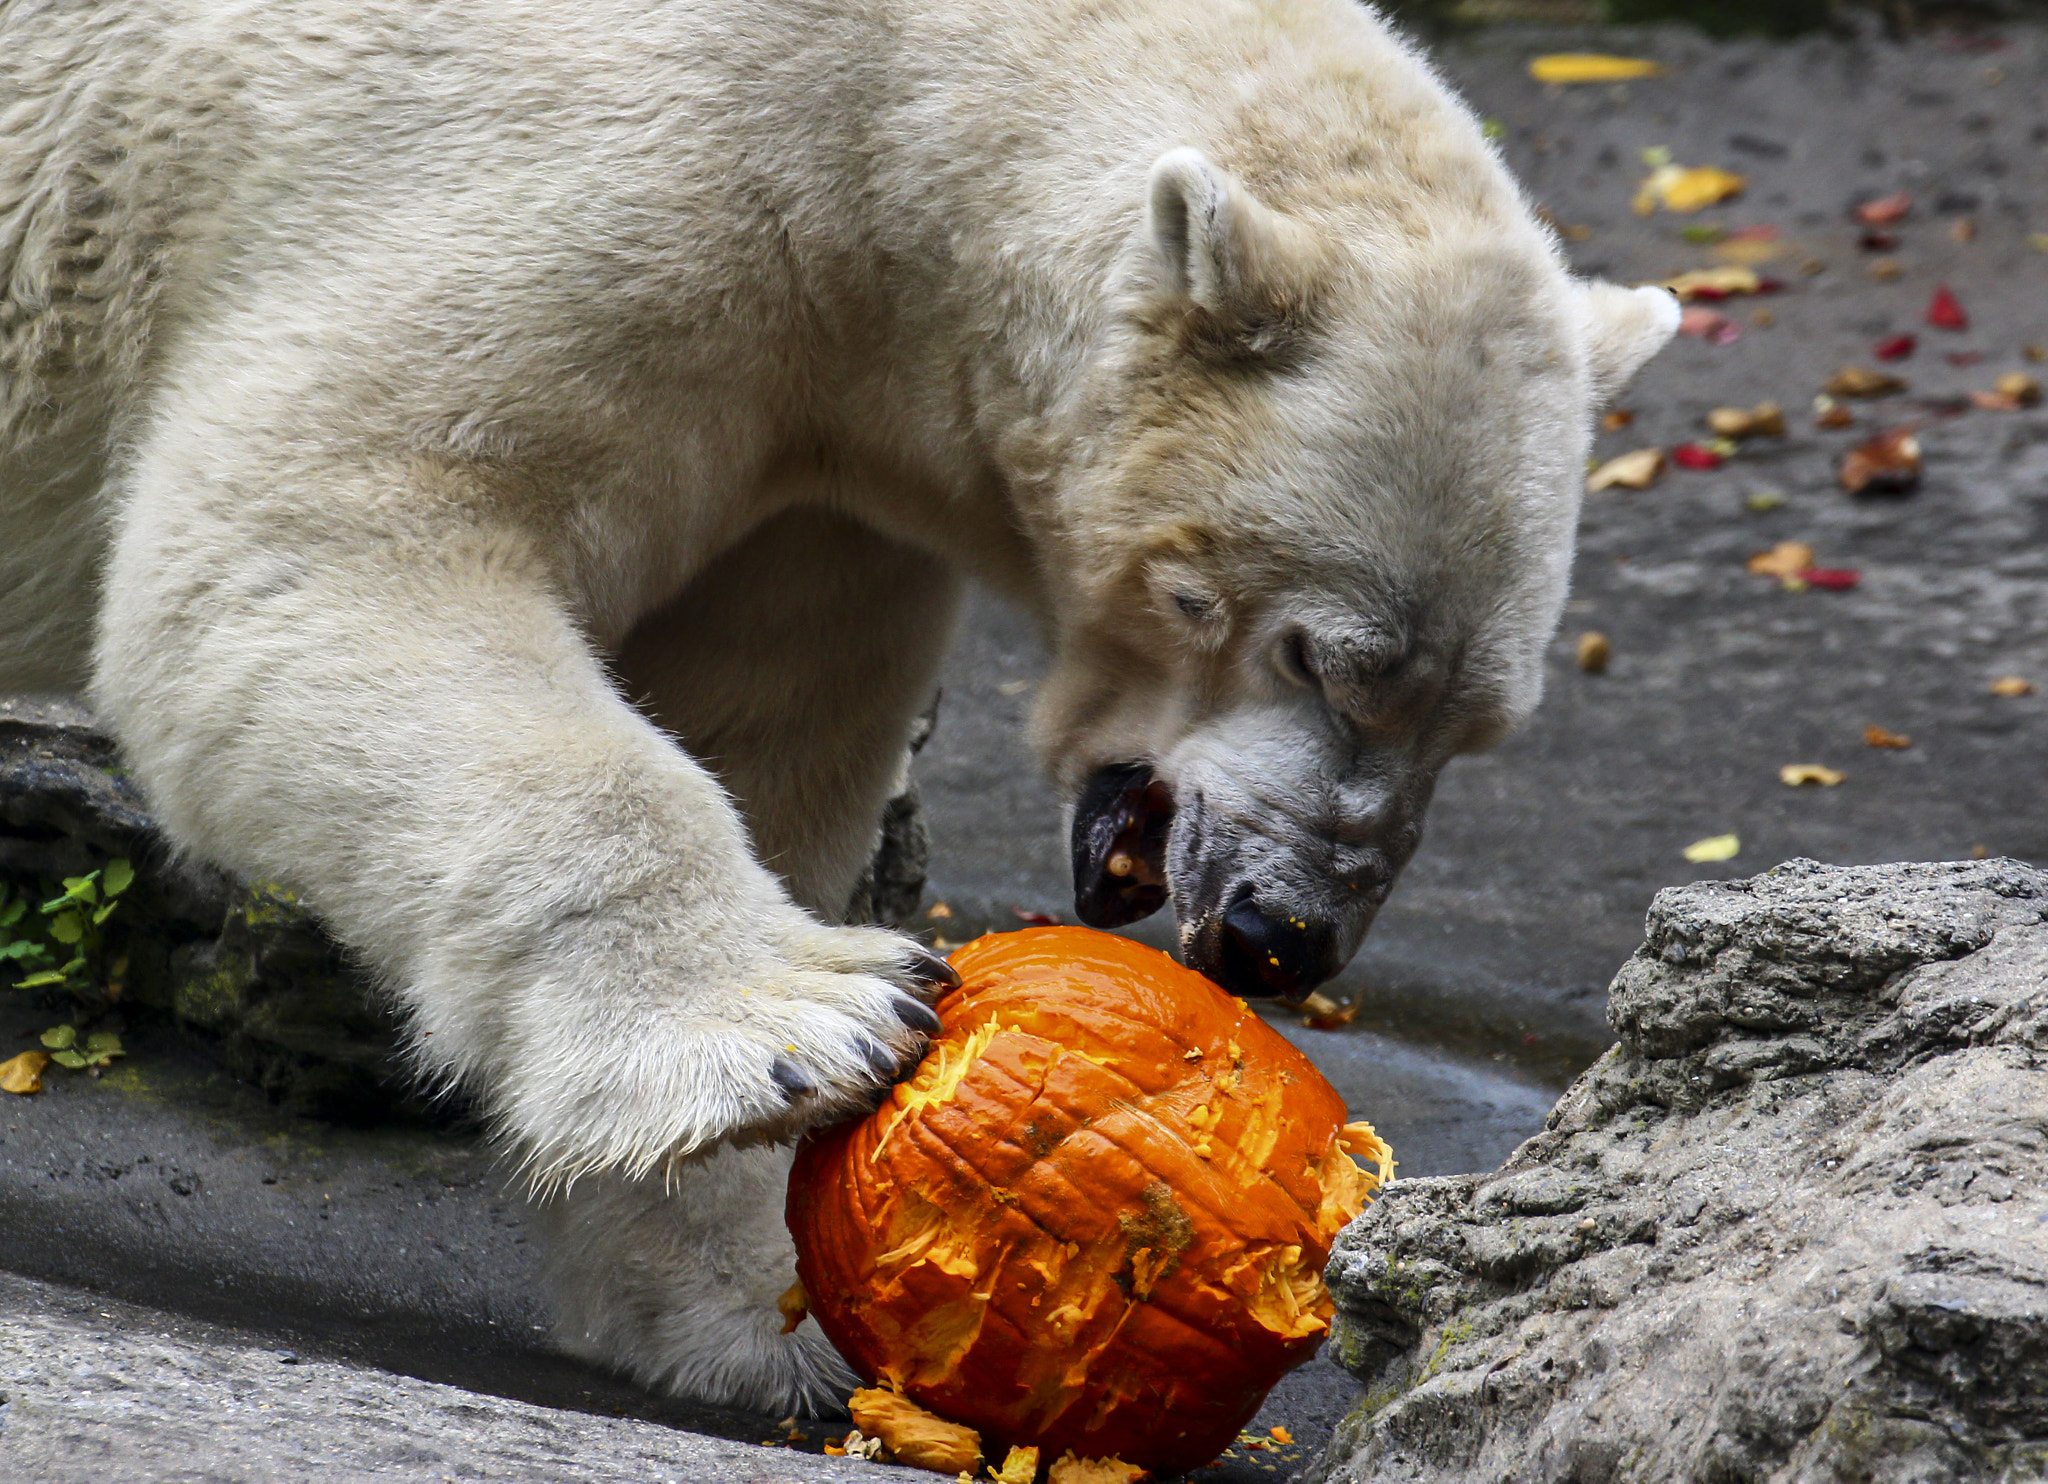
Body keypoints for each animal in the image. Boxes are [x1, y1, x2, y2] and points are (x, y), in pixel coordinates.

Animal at [0, 0, 1671, 1416]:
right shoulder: (585, 176)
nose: (1286, 933)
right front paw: (798, 1031)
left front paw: (753, 1308)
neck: (899, 107)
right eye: (1315, 656)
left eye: (1476, 725)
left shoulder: (815, 463)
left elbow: (763, 728)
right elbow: (318, 539)